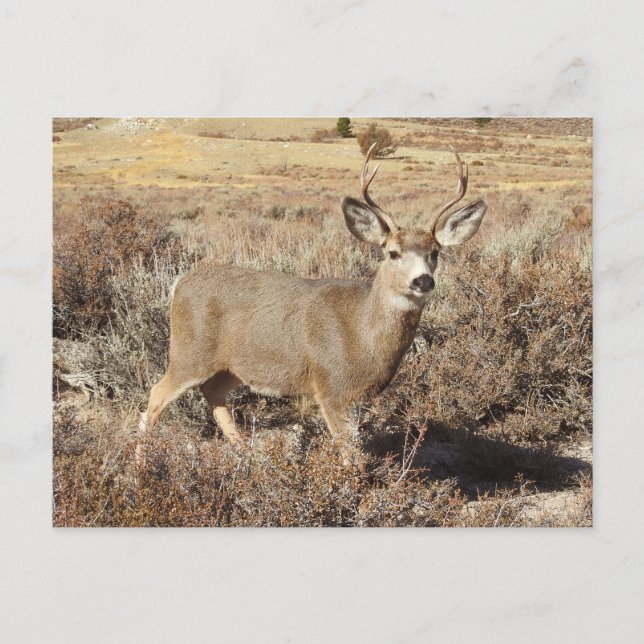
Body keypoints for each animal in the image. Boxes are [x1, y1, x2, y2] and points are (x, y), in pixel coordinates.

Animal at [138, 145, 487, 466]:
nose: (423, 281)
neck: (363, 332)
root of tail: (179, 283)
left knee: (215, 397)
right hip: (189, 352)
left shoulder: (358, 397)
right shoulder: (331, 386)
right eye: (392, 252)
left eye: (435, 253)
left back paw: (246, 456)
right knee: (156, 395)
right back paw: (140, 463)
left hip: (230, 365)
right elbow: (348, 454)